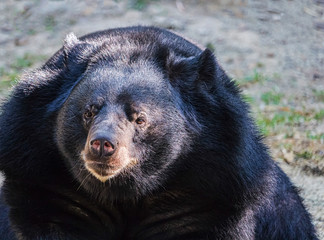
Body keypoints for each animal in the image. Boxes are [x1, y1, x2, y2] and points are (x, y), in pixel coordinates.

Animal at [0, 26, 318, 240]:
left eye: (139, 119)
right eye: (88, 112)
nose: (102, 145)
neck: (122, 190)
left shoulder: (210, 191)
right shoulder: (46, 181)